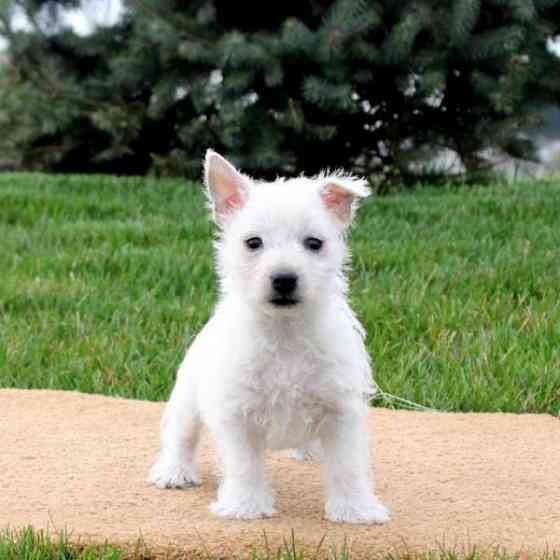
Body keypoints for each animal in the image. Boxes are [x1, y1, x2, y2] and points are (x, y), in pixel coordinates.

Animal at [149, 150, 390, 524]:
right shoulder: (238, 414)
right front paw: (245, 506)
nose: (284, 279)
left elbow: (347, 466)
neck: (285, 331)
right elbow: (245, 465)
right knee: (180, 434)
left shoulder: (341, 412)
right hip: (188, 397)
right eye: (253, 243)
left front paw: (355, 510)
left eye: (314, 243)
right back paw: (174, 472)